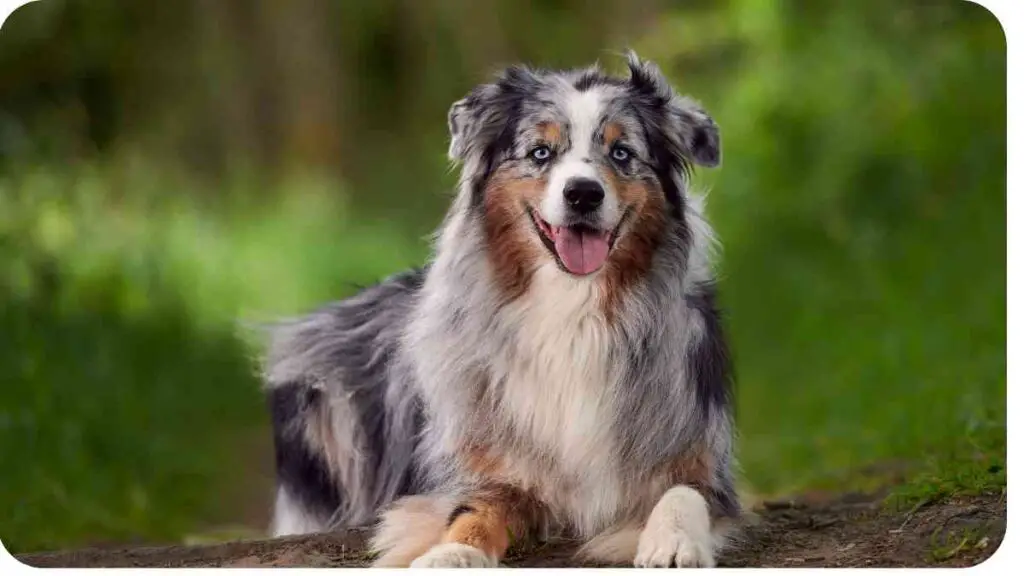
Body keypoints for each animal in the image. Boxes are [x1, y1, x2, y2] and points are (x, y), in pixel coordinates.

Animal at [262, 52, 745, 565]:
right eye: (540, 153)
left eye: (621, 153)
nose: (583, 193)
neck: (572, 309)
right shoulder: (487, 472)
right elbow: (472, 513)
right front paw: (451, 556)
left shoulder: (699, 455)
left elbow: (684, 493)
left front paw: (673, 542)